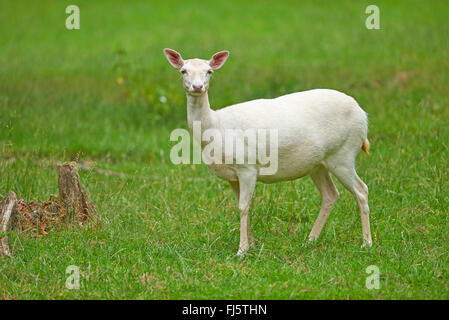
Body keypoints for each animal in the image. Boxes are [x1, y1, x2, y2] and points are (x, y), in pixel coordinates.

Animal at [162, 49, 372, 255]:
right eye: (183, 71)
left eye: (209, 71)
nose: (197, 87)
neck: (215, 126)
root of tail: (363, 115)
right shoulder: (232, 176)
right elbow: (241, 206)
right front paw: (252, 245)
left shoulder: (247, 166)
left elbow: (243, 207)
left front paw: (242, 250)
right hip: (318, 164)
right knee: (330, 194)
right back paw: (310, 241)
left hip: (343, 153)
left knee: (361, 189)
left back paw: (366, 243)